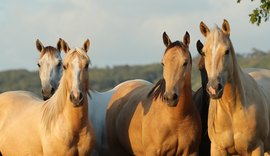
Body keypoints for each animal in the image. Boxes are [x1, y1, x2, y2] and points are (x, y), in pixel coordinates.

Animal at [198, 19, 270, 155]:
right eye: (204, 52)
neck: (232, 111)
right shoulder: (217, 149)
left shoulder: (257, 148)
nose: (214, 88)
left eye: (227, 51)